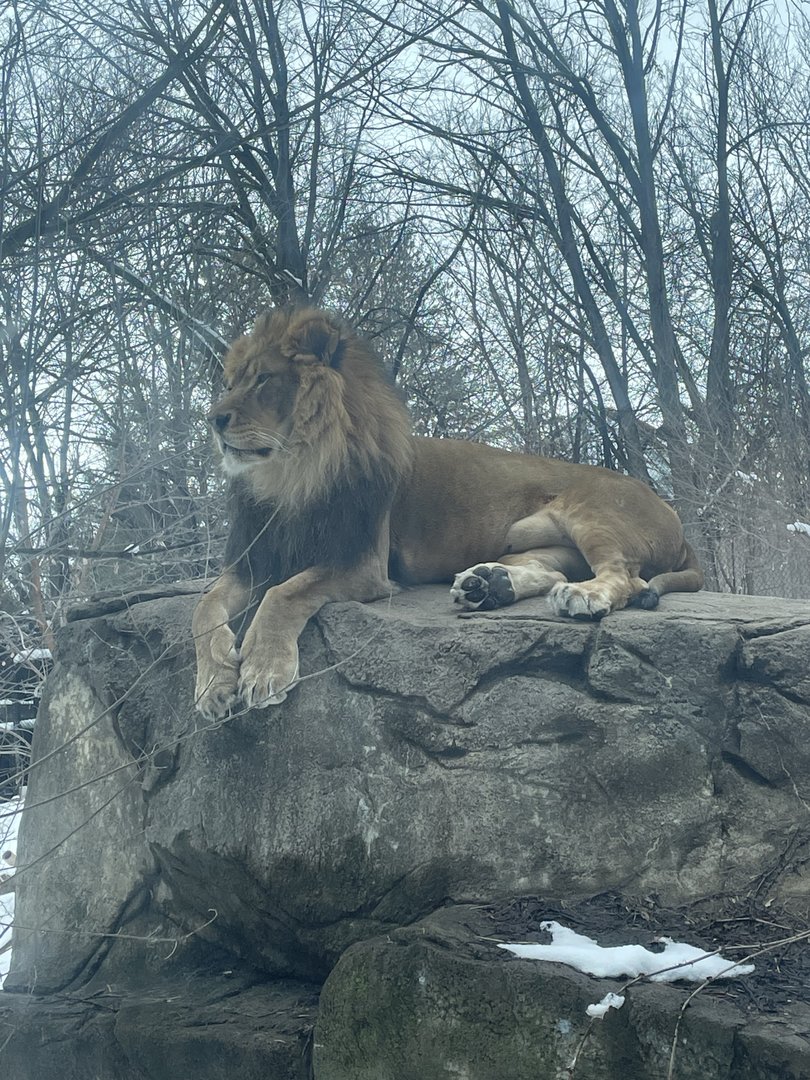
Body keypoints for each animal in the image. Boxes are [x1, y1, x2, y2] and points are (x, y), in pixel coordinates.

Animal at [193, 307, 703, 719]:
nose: (213, 419)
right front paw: (213, 685)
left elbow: (284, 593)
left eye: (263, 379)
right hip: (528, 538)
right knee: (549, 569)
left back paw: (580, 595)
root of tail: (674, 516)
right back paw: (488, 586)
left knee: (625, 576)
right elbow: (206, 607)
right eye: (231, 383)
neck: (290, 476)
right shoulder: (254, 559)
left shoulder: (363, 564)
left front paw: (263, 670)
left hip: (593, 511)